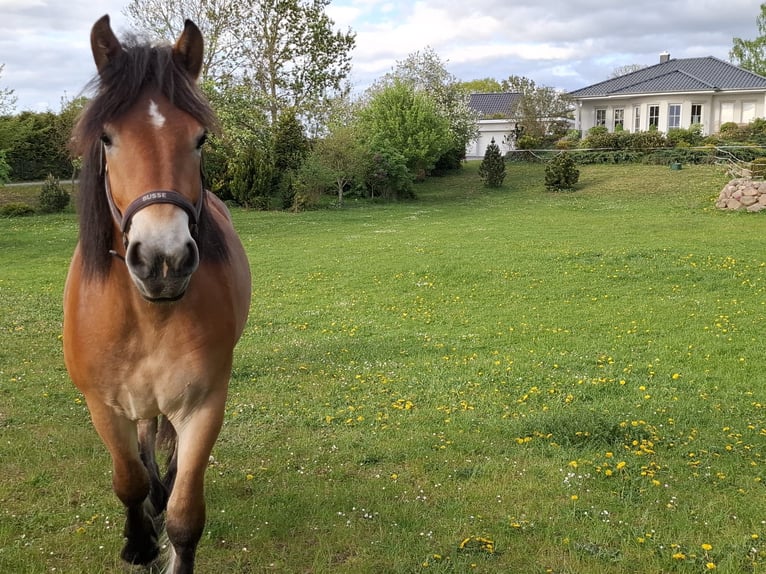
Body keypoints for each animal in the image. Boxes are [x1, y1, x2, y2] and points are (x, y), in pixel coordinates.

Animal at [63, 15, 251, 573]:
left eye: (200, 138)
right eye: (107, 137)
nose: (162, 260)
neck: (149, 315)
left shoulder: (205, 406)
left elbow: (186, 515)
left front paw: (166, 523)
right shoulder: (103, 405)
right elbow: (127, 479)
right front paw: (138, 541)